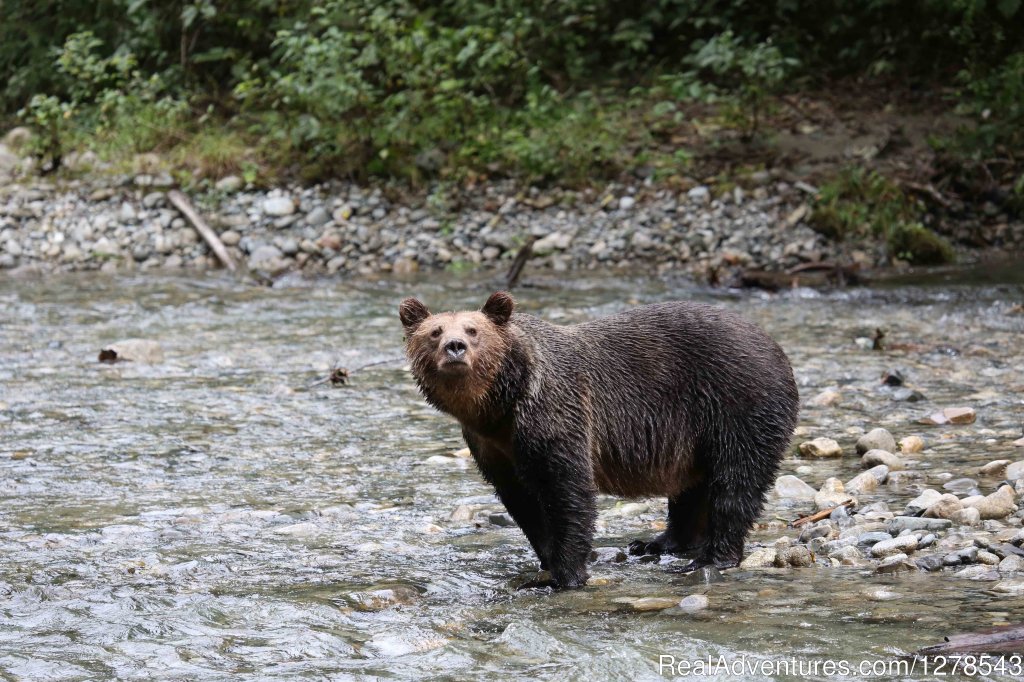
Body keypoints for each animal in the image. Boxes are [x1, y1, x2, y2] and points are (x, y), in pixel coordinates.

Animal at [397, 288, 798, 585]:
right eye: (434, 331)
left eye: (473, 330)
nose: (455, 347)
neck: (500, 405)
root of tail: (776, 346)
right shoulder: (492, 445)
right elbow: (522, 502)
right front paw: (549, 559)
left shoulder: (555, 412)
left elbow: (567, 489)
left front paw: (566, 574)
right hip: (698, 432)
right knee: (692, 487)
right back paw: (658, 543)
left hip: (737, 402)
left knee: (735, 481)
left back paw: (712, 558)